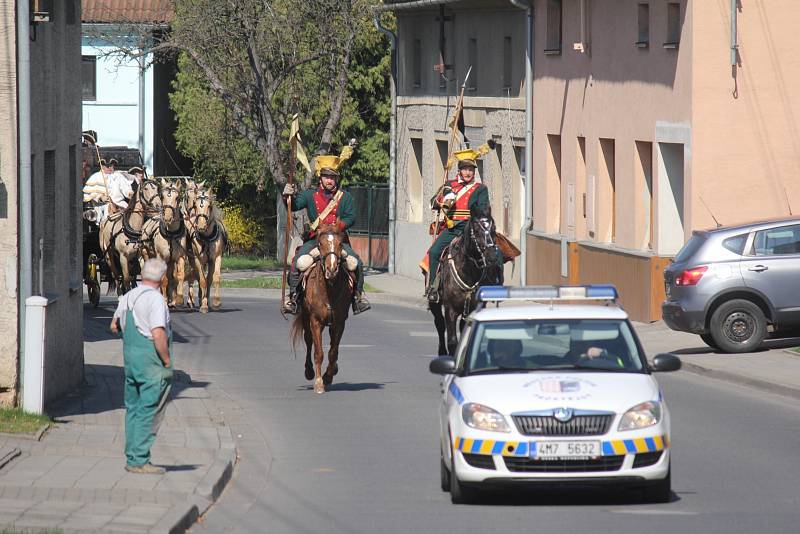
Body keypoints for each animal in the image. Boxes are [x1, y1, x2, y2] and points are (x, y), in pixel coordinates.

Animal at [141, 179, 188, 308]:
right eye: (162, 196)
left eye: (177, 198)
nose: (167, 217)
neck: (171, 234)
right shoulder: (160, 257)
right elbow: (163, 279)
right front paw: (165, 300)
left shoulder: (180, 256)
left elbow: (179, 276)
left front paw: (178, 299)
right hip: (146, 253)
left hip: (170, 261)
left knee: (171, 276)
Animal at [288, 224, 350, 396]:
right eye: (320, 244)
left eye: (340, 244)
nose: (332, 269)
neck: (329, 289)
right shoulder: (315, 321)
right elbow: (318, 352)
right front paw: (319, 383)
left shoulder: (339, 323)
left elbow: (333, 351)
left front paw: (328, 376)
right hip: (306, 317)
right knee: (309, 341)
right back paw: (309, 371)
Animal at [432, 204, 500, 356]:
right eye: (477, 230)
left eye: (494, 230)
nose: (492, 256)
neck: (468, 272)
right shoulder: (450, 310)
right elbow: (452, 341)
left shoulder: (474, 309)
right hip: (435, 303)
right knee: (439, 324)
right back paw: (441, 351)